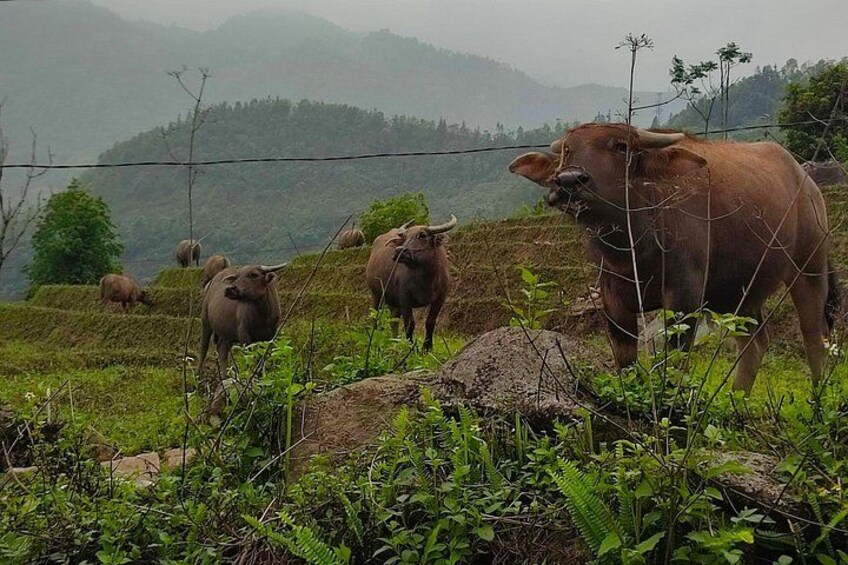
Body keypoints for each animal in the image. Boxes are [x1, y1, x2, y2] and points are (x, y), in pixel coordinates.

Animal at [365, 215, 457, 351]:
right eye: (405, 237)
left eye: (422, 235)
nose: (399, 251)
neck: (426, 278)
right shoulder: (404, 299)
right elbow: (410, 324)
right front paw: (410, 347)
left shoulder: (440, 297)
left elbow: (430, 321)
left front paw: (427, 347)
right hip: (377, 295)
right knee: (375, 317)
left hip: (393, 302)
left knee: (394, 320)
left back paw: (394, 340)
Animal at [509, 123, 839, 392]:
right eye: (568, 150)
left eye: (621, 146)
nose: (569, 180)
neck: (633, 246)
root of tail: (807, 184)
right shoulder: (613, 298)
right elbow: (626, 362)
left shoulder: (684, 295)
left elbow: (675, 358)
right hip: (741, 291)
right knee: (754, 343)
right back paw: (737, 398)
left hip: (809, 268)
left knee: (815, 337)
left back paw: (817, 400)